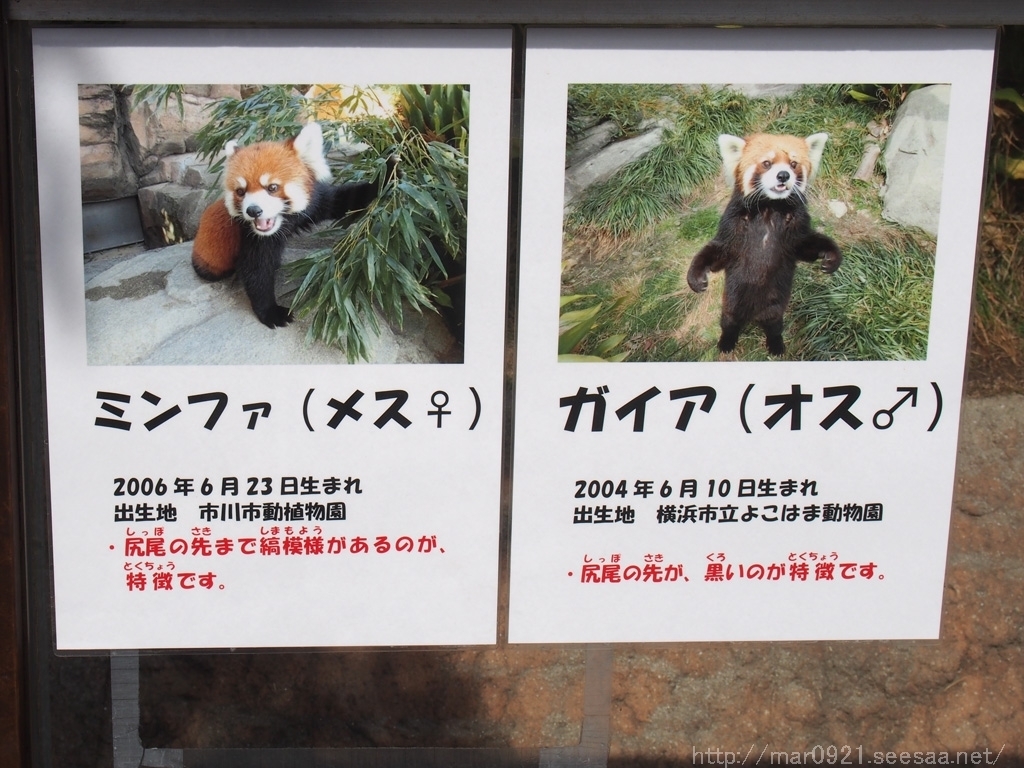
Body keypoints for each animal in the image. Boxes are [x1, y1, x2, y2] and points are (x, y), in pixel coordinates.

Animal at [192, 122, 395, 327]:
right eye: (241, 191)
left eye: (272, 187)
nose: (253, 210)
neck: (284, 221)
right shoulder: (252, 236)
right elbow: (256, 270)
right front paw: (270, 311)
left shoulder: (315, 203)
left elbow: (345, 200)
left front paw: (389, 171)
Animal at [684, 133, 843, 358]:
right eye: (767, 163)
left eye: (793, 164)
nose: (783, 175)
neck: (770, 206)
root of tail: (754, 314)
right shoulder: (733, 224)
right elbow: (719, 252)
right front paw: (696, 276)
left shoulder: (796, 226)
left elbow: (805, 245)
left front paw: (831, 255)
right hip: (732, 299)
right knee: (729, 320)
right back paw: (726, 342)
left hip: (775, 304)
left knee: (774, 324)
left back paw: (776, 345)